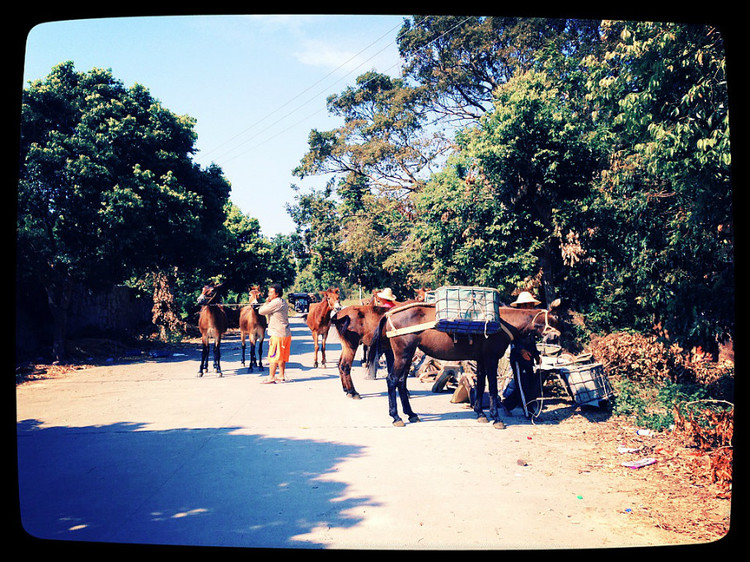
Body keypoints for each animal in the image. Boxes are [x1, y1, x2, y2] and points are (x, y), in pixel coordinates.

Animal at [368, 300, 560, 426]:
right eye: (553, 319)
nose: (556, 336)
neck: (502, 322)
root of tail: (389, 313)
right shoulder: (491, 358)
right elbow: (492, 387)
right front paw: (496, 418)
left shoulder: (481, 359)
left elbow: (481, 385)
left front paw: (480, 413)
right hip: (403, 355)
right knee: (392, 380)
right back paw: (396, 417)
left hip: (406, 356)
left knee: (401, 382)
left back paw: (411, 414)